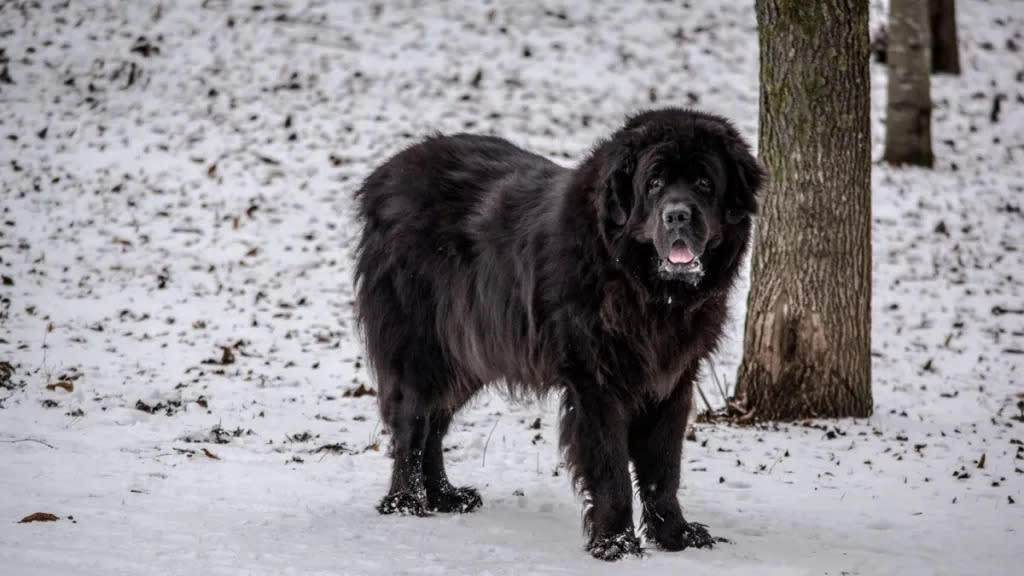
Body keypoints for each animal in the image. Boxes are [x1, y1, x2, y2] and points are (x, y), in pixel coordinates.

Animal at [352, 106, 761, 557]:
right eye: (654, 183)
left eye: (705, 182)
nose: (677, 215)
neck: (645, 289)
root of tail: (384, 175)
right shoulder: (595, 383)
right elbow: (611, 468)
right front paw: (615, 543)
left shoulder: (672, 381)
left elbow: (664, 468)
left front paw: (675, 534)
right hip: (424, 348)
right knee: (413, 421)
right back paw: (406, 502)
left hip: (468, 353)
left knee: (435, 424)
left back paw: (444, 495)